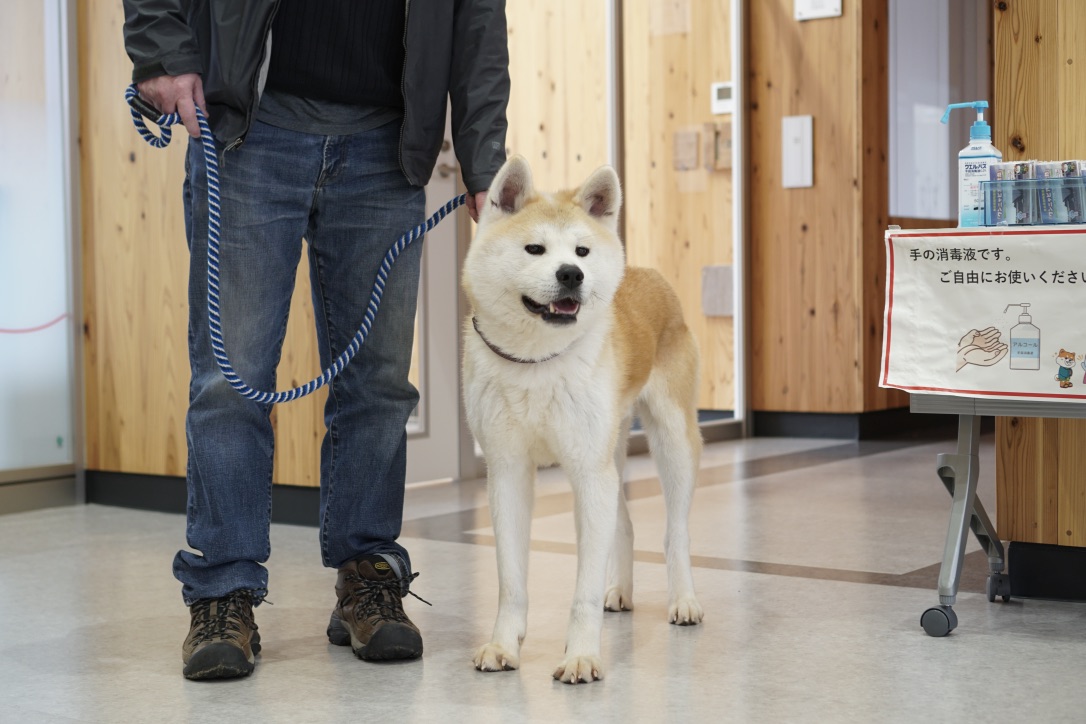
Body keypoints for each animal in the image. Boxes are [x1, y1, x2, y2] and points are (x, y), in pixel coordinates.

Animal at [460, 154, 703, 686]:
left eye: (581, 251)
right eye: (535, 248)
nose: (572, 274)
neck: (537, 361)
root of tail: (644, 271)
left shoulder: (588, 473)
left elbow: (583, 592)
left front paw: (581, 656)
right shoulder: (508, 471)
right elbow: (511, 581)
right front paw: (504, 645)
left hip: (671, 443)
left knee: (674, 534)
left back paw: (683, 600)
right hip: (612, 451)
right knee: (625, 526)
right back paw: (622, 591)